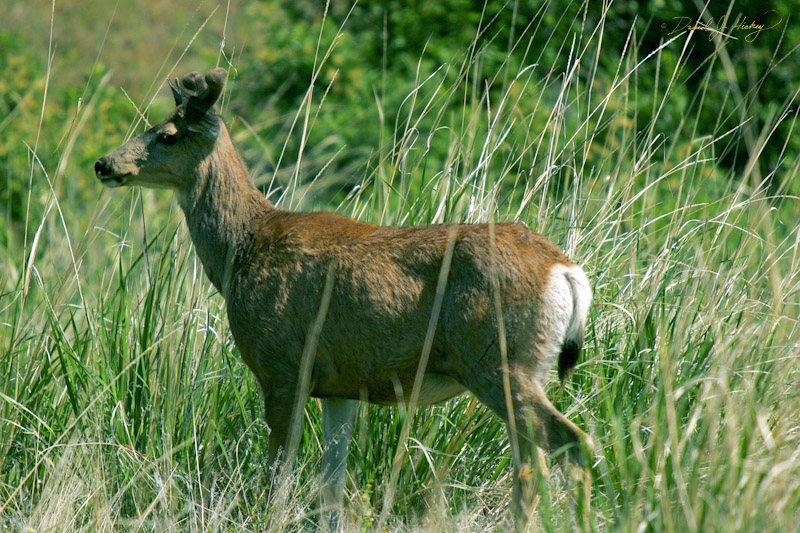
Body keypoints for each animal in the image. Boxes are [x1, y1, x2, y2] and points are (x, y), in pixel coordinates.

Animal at [95, 68, 594, 531]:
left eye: (167, 133)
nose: (103, 164)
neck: (243, 249)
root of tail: (565, 269)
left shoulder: (283, 367)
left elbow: (279, 478)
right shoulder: (341, 387)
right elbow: (330, 485)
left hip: (499, 360)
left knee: (568, 448)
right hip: (522, 366)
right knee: (535, 461)